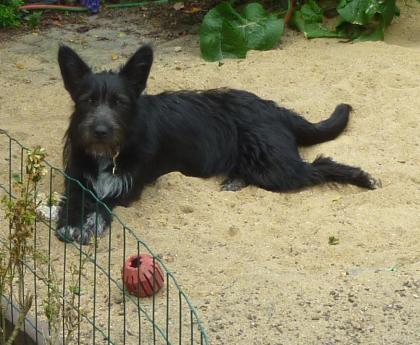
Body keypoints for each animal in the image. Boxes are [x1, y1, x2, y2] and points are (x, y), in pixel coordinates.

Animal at [55, 44, 378, 243]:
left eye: (119, 102)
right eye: (87, 100)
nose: (99, 131)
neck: (107, 154)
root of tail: (274, 108)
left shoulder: (128, 187)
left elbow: (102, 203)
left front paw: (88, 224)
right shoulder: (77, 178)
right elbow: (72, 199)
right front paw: (69, 223)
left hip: (273, 165)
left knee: (320, 165)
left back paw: (363, 177)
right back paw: (235, 180)